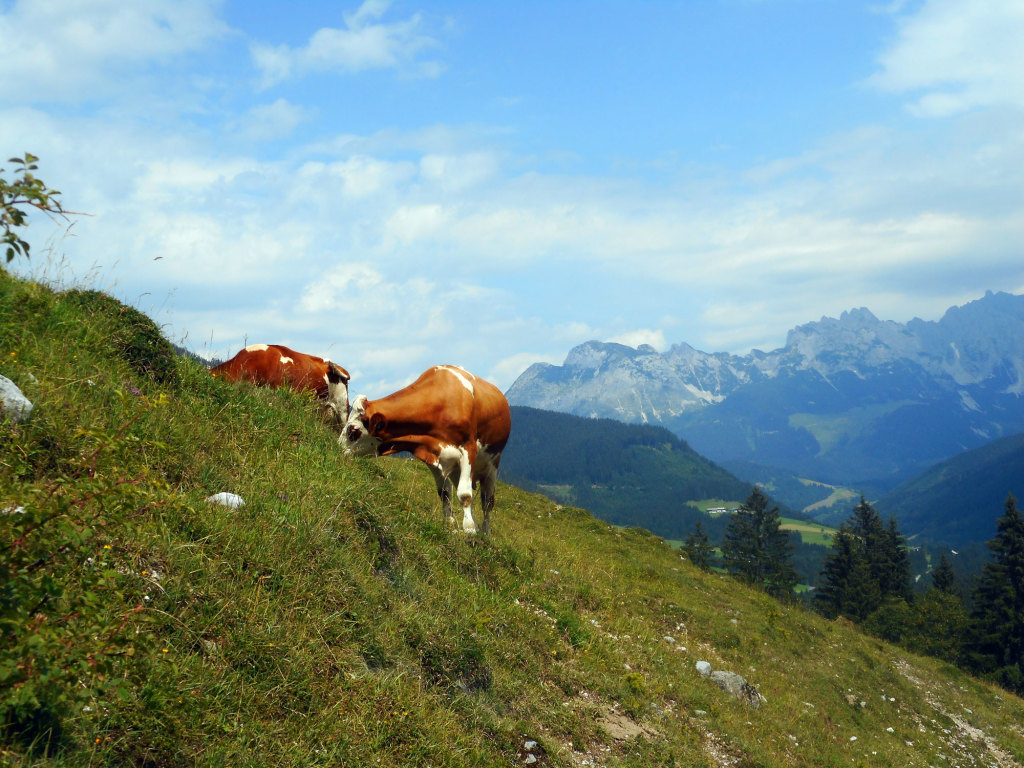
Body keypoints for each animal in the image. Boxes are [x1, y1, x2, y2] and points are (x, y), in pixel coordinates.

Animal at [337, 364, 509, 536]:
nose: (337, 448)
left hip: (492, 465)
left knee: (487, 501)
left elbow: (465, 494)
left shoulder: (468, 449)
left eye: (352, 431)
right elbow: (445, 493)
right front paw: (450, 525)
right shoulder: (431, 454)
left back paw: (486, 531)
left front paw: (469, 529)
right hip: (456, 470)